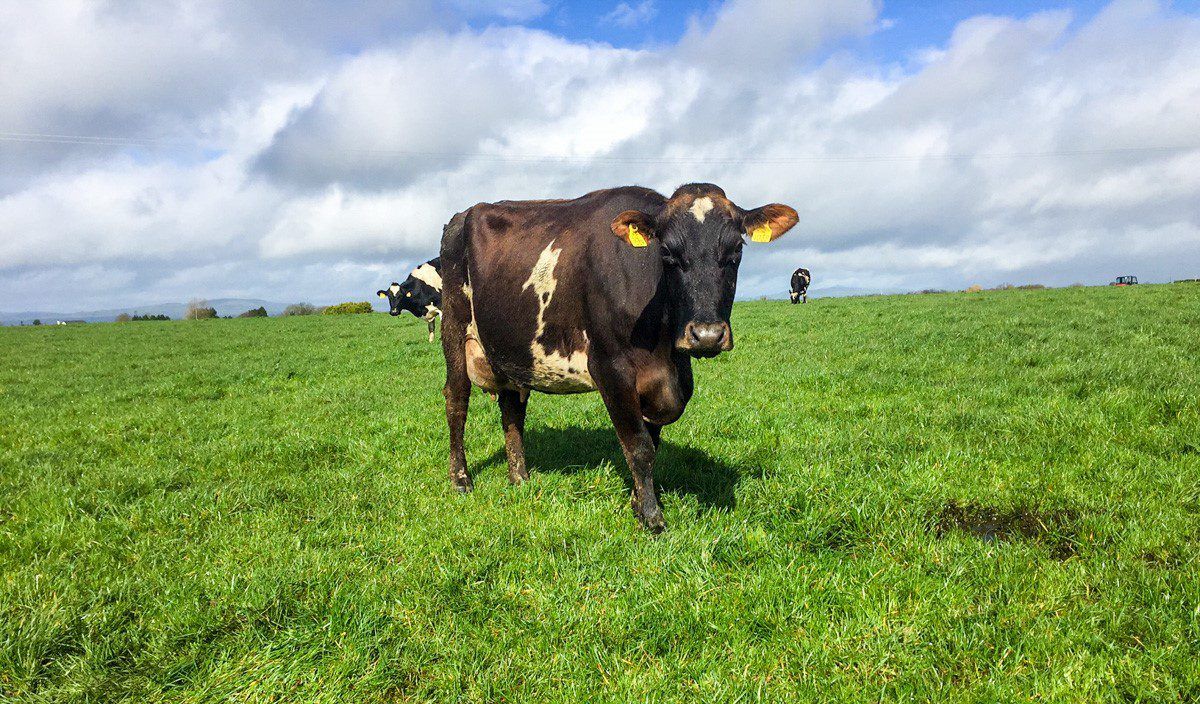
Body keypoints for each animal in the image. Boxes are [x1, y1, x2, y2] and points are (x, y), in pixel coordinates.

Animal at [438, 184, 798, 532]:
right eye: (667, 253)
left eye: (736, 251)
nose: (707, 334)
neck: (664, 353)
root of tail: (463, 214)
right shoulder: (610, 369)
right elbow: (638, 446)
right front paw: (651, 518)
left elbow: (651, 443)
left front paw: (639, 503)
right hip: (454, 330)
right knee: (456, 403)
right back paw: (461, 480)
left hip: (513, 351)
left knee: (512, 409)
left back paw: (520, 478)